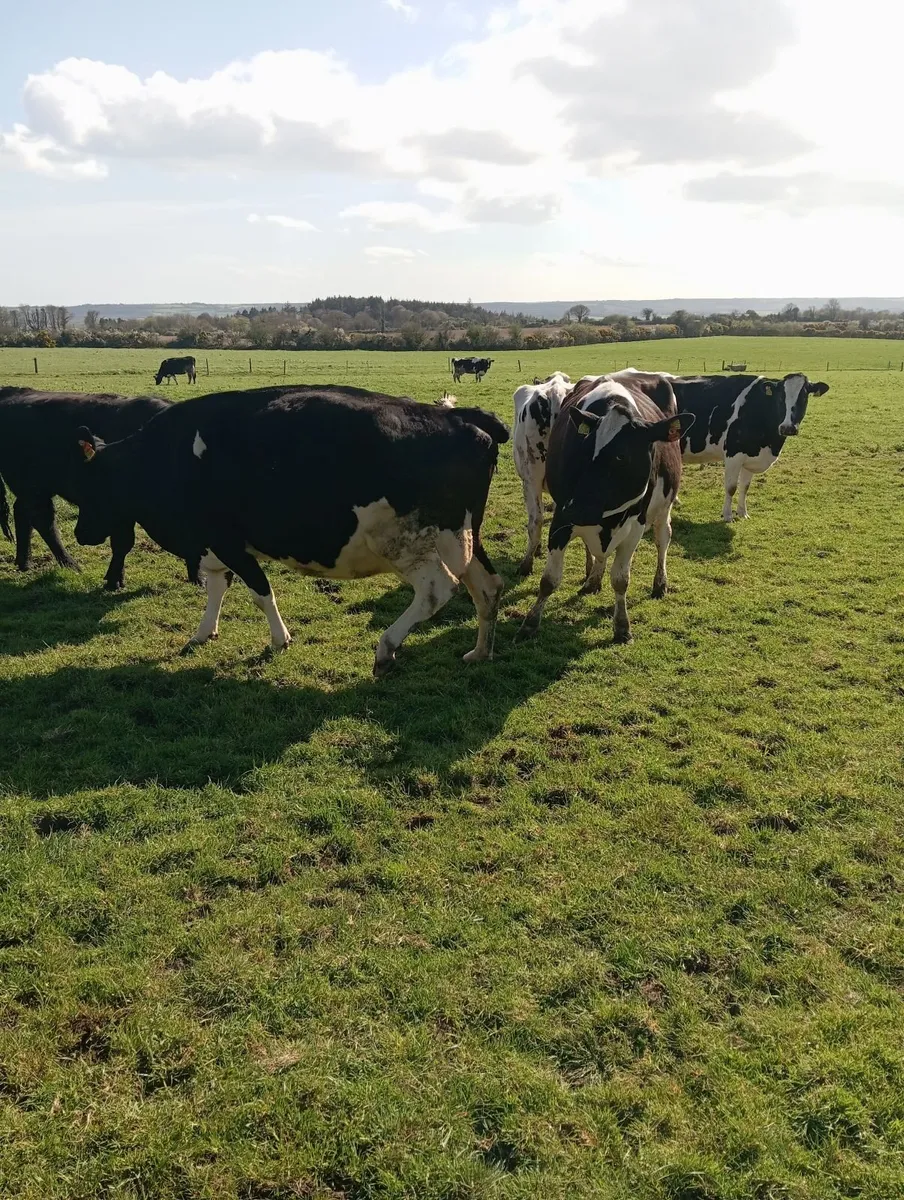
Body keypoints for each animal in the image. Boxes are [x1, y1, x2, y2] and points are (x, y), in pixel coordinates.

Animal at [0, 387, 200, 590]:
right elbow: (123, 543)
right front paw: (114, 580)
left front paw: (197, 578)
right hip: (33, 489)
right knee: (43, 521)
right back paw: (70, 565)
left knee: (23, 514)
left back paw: (24, 562)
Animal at [72, 385, 509, 675]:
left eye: (92, 485)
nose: (79, 533)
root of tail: (456, 416)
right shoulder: (214, 546)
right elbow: (216, 588)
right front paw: (203, 633)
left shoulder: (229, 543)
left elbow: (260, 593)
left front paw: (280, 639)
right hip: (464, 539)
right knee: (487, 587)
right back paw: (480, 652)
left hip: (408, 544)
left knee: (437, 589)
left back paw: (386, 648)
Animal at [519, 374, 694, 644]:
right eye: (581, 448)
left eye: (621, 456)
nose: (576, 510)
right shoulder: (561, 519)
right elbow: (549, 580)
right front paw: (530, 623)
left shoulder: (635, 527)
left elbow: (621, 580)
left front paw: (622, 627)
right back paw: (593, 581)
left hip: (663, 508)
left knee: (663, 538)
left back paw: (659, 583)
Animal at [669, 373, 829, 521]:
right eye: (780, 398)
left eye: (804, 397)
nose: (787, 428)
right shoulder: (733, 454)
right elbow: (731, 487)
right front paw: (728, 515)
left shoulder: (751, 455)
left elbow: (745, 487)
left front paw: (743, 513)